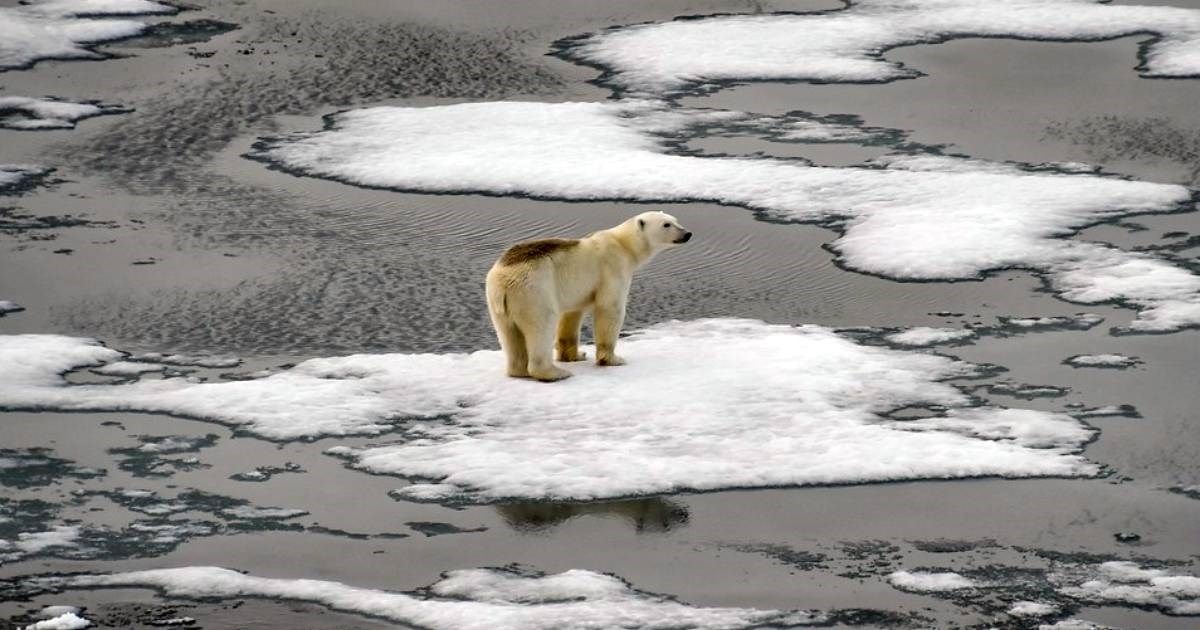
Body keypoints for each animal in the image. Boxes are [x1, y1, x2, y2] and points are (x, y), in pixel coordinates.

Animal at [484, 211, 696, 381]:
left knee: (508, 334)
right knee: (542, 326)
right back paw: (556, 373)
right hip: (534, 291)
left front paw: (576, 355)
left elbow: (572, 315)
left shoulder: (576, 290)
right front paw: (613, 359)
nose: (687, 233)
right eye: (666, 224)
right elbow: (610, 309)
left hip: (499, 303)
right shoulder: (612, 269)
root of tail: (503, 279)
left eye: (676, 220)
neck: (623, 244)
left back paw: (518, 370)